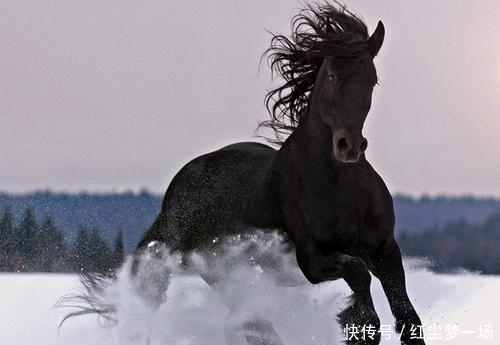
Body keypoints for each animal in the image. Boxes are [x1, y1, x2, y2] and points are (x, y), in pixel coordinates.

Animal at [68, 2, 426, 344]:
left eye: (372, 79)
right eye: (333, 77)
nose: (348, 146)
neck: (343, 187)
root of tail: (176, 192)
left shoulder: (384, 250)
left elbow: (407, 316)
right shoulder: (311, 259)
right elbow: (359, 278)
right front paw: (358, 323)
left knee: (248, 324)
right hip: (222, 272)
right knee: (249, 323)